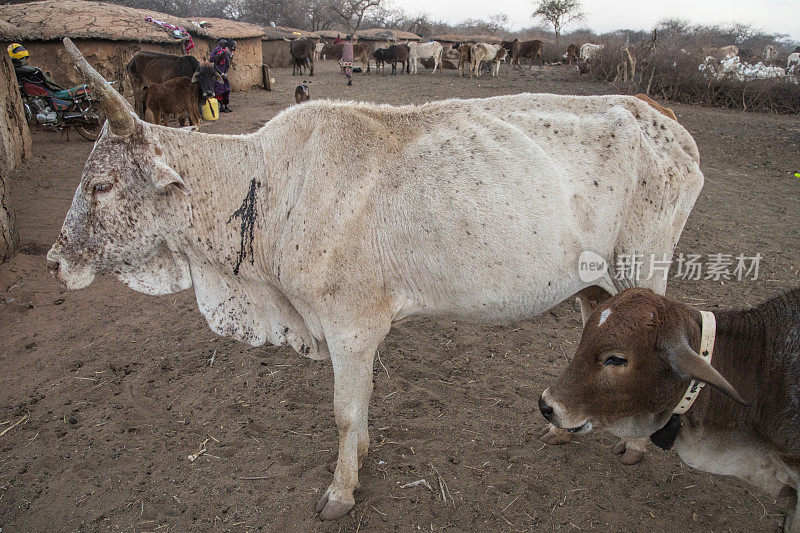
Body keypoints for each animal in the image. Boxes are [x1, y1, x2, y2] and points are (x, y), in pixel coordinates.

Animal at [48, 39, 708, 520]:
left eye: (101, 185)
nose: (55, 260)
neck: (267, 187)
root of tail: (655, 109)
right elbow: (359, 407)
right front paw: (361, 456)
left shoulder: (351, 324)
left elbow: (344, 410)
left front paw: (340, 491)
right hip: (591, 277)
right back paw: (568, 429)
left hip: (645, 258)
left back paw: (633, 443)